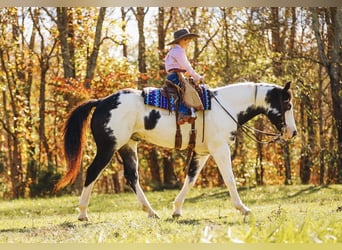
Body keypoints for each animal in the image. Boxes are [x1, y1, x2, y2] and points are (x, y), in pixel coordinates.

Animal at [55, 81, 296, 221]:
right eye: (288, 105)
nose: (292, 133)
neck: (226, 106)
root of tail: (102, 102)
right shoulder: (220, 148)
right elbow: (229, 179)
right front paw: (243, 208)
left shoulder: (202, 152)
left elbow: (190, 178)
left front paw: (177, 209)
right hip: (108, 148)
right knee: (92, 173)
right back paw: (83, 213)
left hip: (128, 146)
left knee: (132, 177)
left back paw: (151, 212)